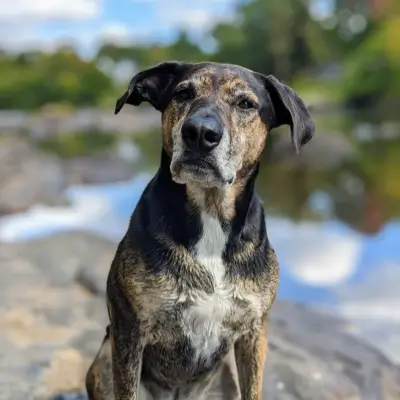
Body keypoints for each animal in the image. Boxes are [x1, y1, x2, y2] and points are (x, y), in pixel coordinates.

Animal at [85, 60, 316, 400]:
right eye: (183, 93)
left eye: (245, 103)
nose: (200, 133)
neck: (210, 214)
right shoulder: (129, 330)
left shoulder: (254, 332)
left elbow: (254, 388)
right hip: (102, 360)